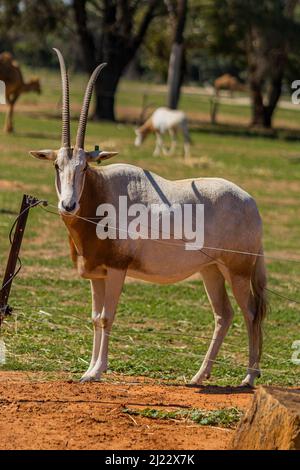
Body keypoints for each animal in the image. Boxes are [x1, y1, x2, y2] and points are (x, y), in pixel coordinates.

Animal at [29, 49, 268, 388]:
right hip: (211, 270)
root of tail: (251, 202)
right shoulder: (97, 274)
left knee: (250, 312)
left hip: (238, 269)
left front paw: (97, 371)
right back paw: (198, 377)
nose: (68, 204)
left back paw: (248, 378)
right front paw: (87, 370)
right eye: (56, 166)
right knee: (224, 314)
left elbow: (107, 317)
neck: (100, 194)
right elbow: (95, 319)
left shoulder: (117, 270)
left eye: (85, 167)